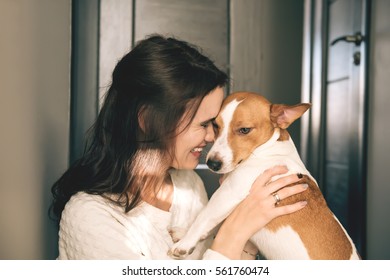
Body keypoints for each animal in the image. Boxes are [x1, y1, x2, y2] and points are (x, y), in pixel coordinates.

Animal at [168, 92, 360, 260]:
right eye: (215, 125)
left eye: (244, 130)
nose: (212, 164)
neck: (267, 150)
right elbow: (217, 224)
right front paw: (184, 234)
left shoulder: (228, 193)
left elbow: (203, 217)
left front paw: (185, 243)